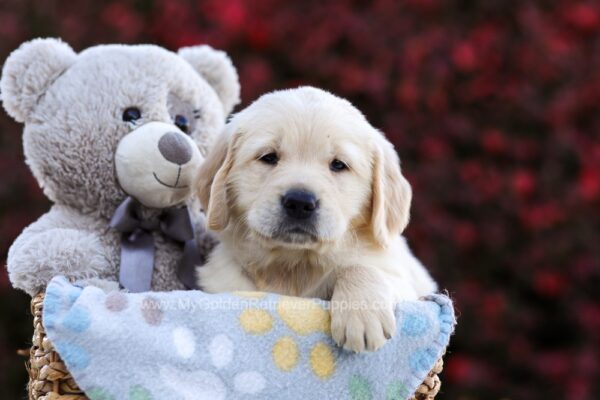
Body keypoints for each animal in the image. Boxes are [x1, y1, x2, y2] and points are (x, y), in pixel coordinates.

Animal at [197, 86, 436, 350]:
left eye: (339, 164)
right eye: (268, 157)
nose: (300, 203)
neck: (295, 265)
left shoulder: (407, 283)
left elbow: (361, 267)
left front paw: (362, 317)